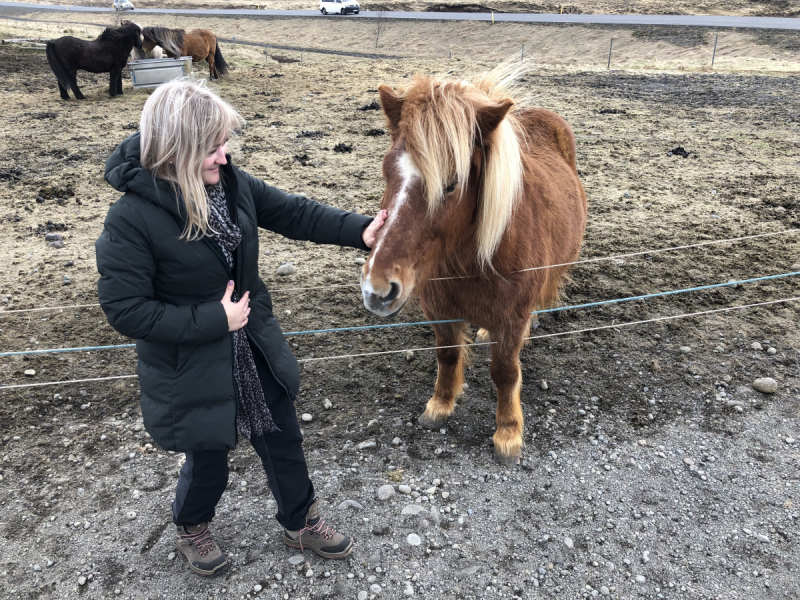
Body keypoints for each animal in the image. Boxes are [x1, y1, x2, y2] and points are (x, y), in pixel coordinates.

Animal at [362, 65, 588, 464]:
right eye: (387, 170)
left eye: (451, 185)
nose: (378, 289)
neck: (469, 262)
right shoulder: (439, 311)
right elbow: (448, 355)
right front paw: (440, 405)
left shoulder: (511, 319)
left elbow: (505, 372)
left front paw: (508, 433)